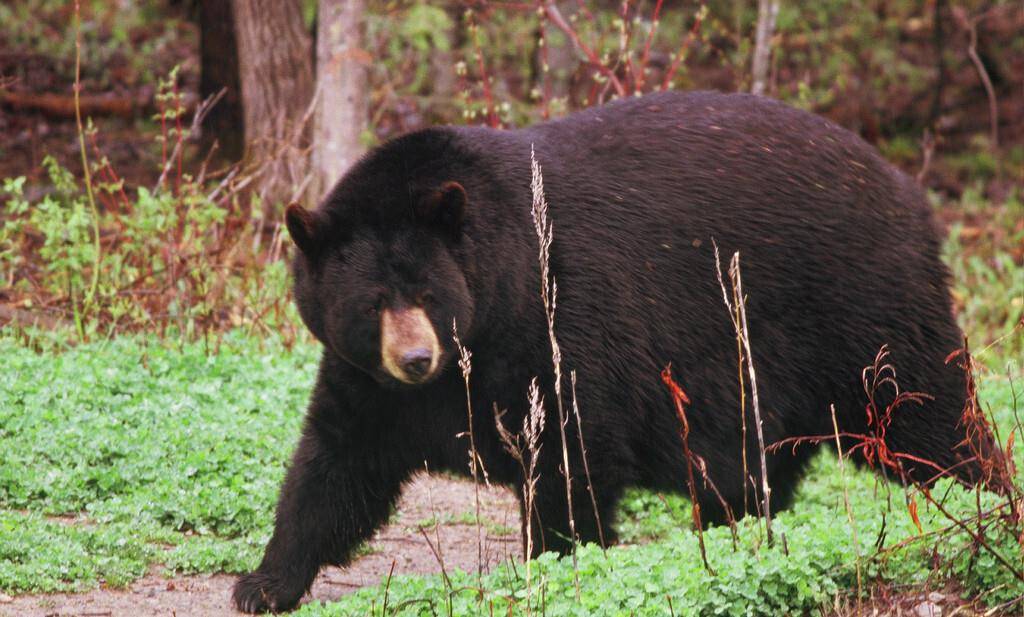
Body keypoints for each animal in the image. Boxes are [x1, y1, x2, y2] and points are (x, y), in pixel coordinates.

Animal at [232, 91, 999, 613]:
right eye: (372, 302)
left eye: (425, 289)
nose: (417, 357)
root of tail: (909, 192)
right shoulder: (368, 383)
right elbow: (334, 466)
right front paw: (263, 581)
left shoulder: (558, 326)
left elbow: (572, 452)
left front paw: (550, 564)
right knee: (754, 472)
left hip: (862, 311)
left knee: (929, 417)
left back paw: (986, 500)